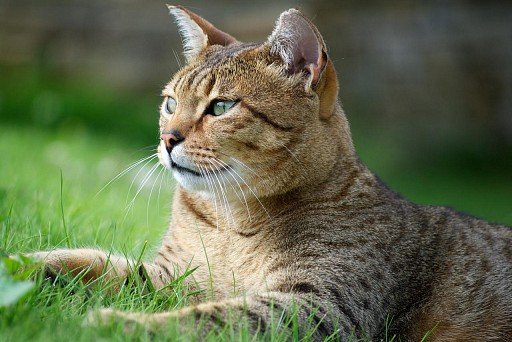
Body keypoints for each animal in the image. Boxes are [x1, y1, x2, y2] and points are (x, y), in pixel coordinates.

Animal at [28, 5, 512, 342]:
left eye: (221, 106)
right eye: (170, 102)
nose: (167, 138)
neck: (229, 222)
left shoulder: (318, 306)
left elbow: (210, 318)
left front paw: (117, 322)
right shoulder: (171, 274)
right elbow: (90, 262)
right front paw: (25, 264)